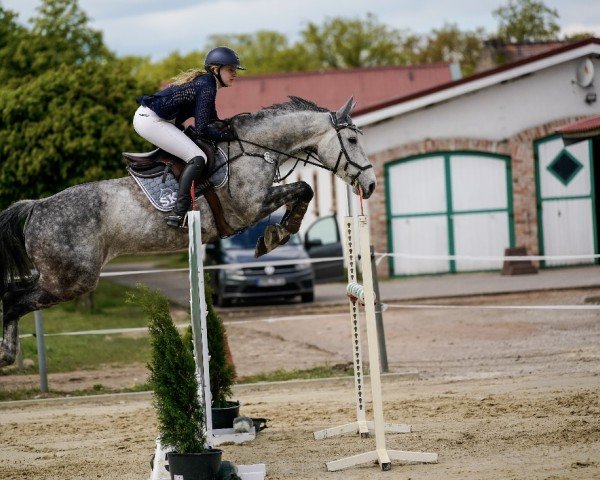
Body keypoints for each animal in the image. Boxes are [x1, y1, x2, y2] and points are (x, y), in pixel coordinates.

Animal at [0, 97, 376, 368]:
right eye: (352, 139)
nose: (370, 185)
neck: (254, 149)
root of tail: (36, 206)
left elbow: (302, 192)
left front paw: (275, 235)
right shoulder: (251, 207)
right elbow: (303, 190)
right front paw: (276, 235)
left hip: (59, 277)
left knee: (12, 296)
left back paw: (8, 354)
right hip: (70, 279)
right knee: (13, 300)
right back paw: (7, 354)